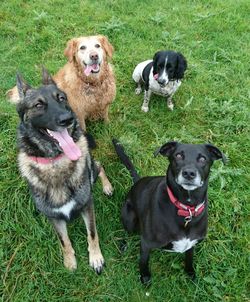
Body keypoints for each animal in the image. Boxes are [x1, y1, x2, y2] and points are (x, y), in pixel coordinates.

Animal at [15, 68, 113, 274]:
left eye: (61, 98)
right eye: (38, 104)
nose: (68, 119)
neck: (56, 162)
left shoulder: (87, 205)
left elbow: (92, 234)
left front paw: (96, 258)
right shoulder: (54, 217)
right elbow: (63, 241)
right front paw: (69, 261)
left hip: (92, 168)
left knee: (99, 166)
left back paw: (107, 186)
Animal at [112, 139, 226, 286]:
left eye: (202, 159)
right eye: (178, 156)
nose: (189, 173)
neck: (186, 209)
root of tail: (137, 182)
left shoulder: (191, 244)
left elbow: (189, 260)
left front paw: (190, 273)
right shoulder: (146, 243)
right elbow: (143, 262)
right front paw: (145, 277)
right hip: (129, 218)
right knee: (127, 232)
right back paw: (124, 245)